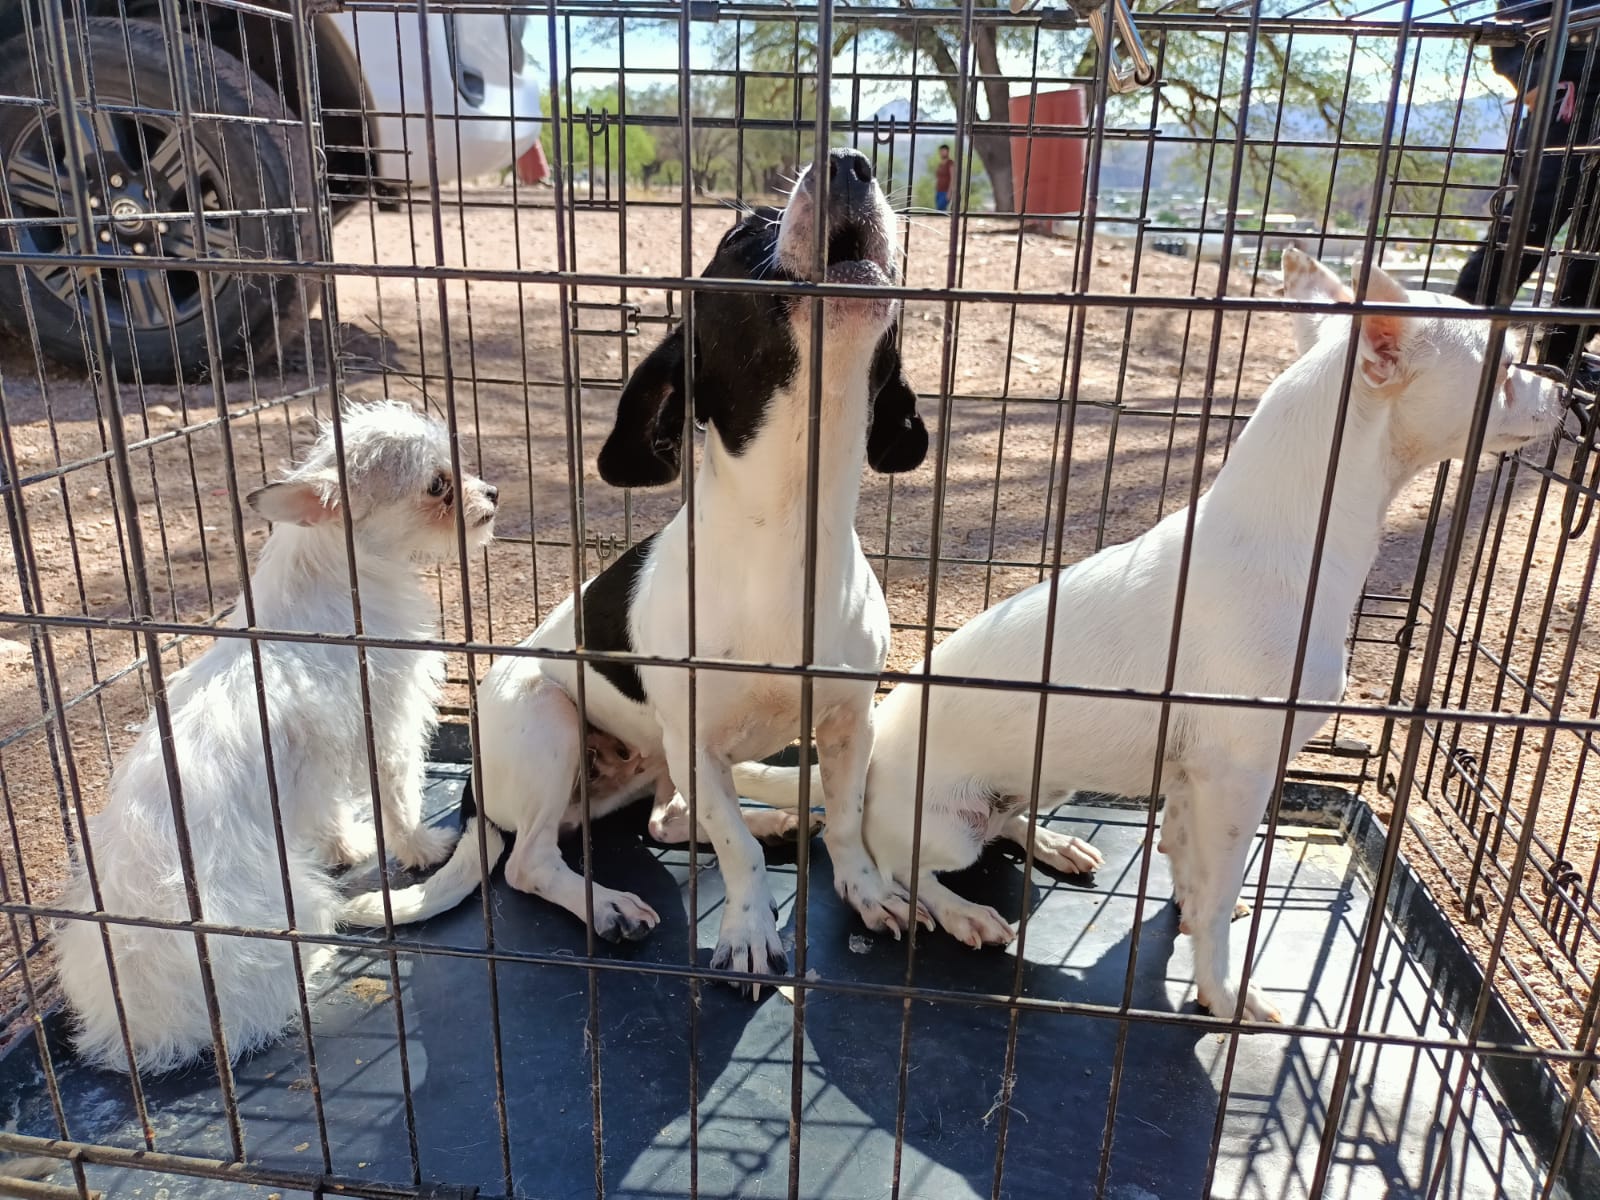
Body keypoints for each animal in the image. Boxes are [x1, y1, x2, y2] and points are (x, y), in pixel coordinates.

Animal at [53, 401, 496, 1068]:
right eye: (438, 485)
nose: (491, 493)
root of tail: (147, 1031)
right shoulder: (388, 727)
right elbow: (398, 800)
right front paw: (420, 848)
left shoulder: (318, 763)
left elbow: (329, 811)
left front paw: (346, 845)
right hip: (297, 903)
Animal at [736, 251, 1561, 1024]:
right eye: (1506, 364)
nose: (1566, 383)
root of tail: (857, 769)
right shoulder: (1237, 773)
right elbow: (1219, 882)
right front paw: (1225, 989)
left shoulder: (1199, 775)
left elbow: (1190, 864)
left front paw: (1194, 920)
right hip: (944, 827)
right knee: (899, 863)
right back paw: (961, 911)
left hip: (1046, 777)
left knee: (1007, 821)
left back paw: (1051, 842)